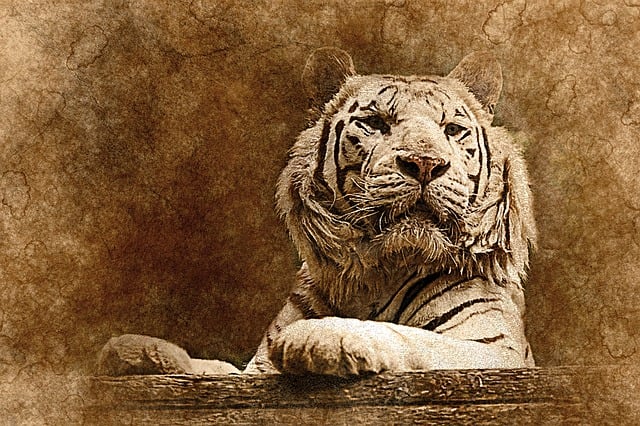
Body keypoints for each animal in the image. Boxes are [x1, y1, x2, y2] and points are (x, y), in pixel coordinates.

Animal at [242, 47, 537, 376]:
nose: (424, 163)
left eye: (452, 129)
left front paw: (315, 335)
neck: (378, 275)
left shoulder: (495, 348)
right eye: (375, 122)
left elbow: (413, 337)